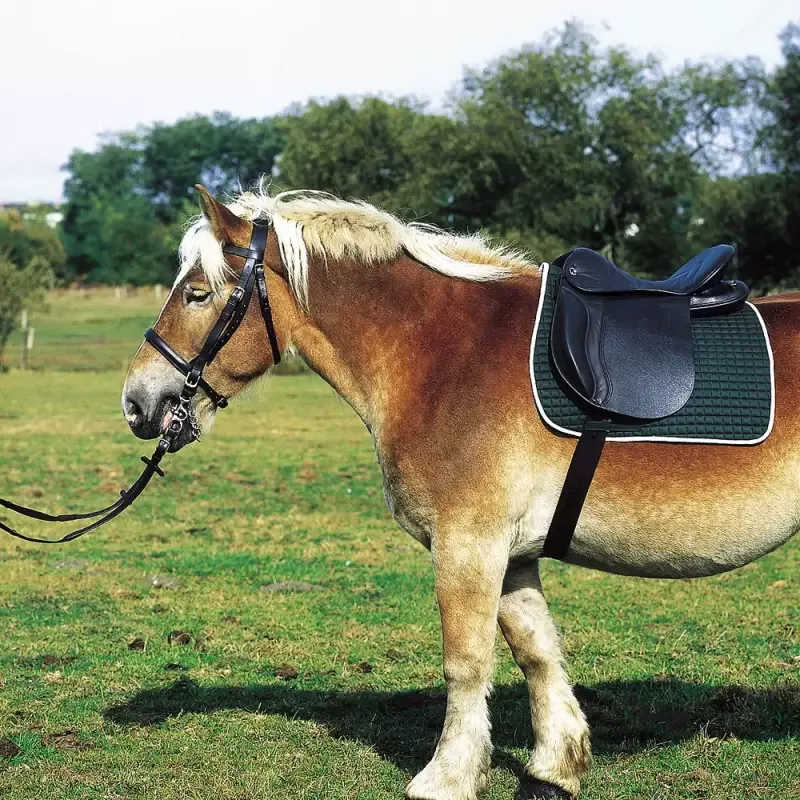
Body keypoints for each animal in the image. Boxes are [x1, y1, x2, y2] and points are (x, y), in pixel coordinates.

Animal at [122, 184, 800, 800]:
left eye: (197, 293)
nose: (136, 402)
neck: (443, 354)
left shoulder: (467, 544)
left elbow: (466, 662)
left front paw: (447, 777)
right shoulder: (512, 554)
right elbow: (536, 651)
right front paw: (555, 768)